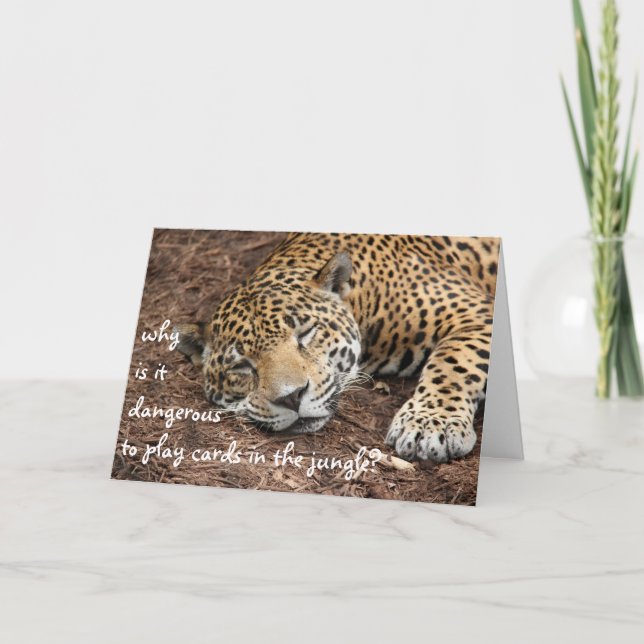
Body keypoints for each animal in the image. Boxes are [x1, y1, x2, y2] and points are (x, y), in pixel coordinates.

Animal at [175, 232, 499, 463]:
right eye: (241, 366)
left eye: (305, 333)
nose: (292, 397)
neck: (362, 295)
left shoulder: (475, 312)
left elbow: (453, 362)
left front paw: (431, 425)